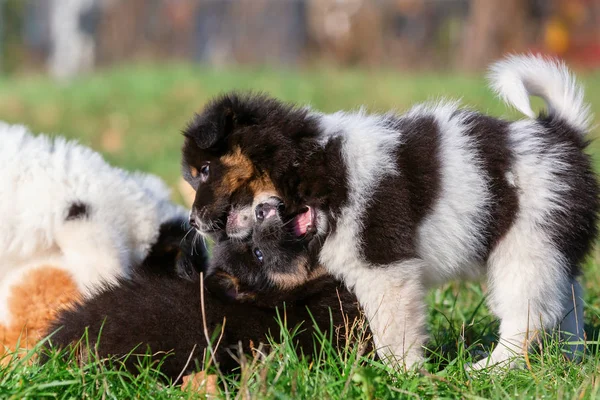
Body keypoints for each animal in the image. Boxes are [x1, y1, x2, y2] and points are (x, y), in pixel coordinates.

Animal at [183, 54, 600, 370]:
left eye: (203, 171)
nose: (192, 221)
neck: (313, 165)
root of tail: (563, 135)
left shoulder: (383, 268)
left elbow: (393, 332)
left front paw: (402, 376)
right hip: (552, 249)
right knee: (569, 302)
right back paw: (570, 360)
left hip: (525, 248)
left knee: (529, 318)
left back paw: (489, 369)